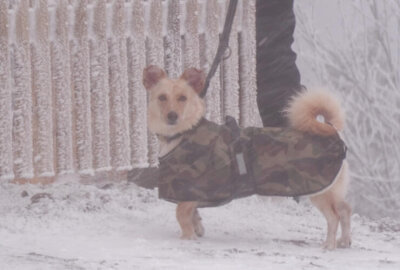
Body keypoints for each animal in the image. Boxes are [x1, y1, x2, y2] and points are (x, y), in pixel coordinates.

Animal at [142, 64, 352, 250]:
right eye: (162, 97)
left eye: (182, 98)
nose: (172, 116)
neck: (183, 132)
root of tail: (332, 131)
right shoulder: (191, 193)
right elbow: (193, 213)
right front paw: (197, 229)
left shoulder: (193, 188)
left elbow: (181, 214)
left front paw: (187, 237)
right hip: (333, 191)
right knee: (345, 209)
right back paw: (344, 241)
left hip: (321, 193)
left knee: (334, 217)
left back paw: (329, 245)